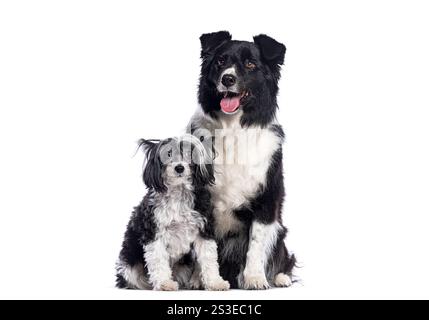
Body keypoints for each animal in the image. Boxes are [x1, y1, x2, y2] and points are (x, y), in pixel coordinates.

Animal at [115, 136, 229, 292]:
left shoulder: (204, 231)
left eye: (189, 153)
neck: (178, 195)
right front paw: (164, 283)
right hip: (129, 266)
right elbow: (158, 261)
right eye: (168, 154)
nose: (179, 167)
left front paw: (215, 282)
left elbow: (209, 259)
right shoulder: (154, 233)